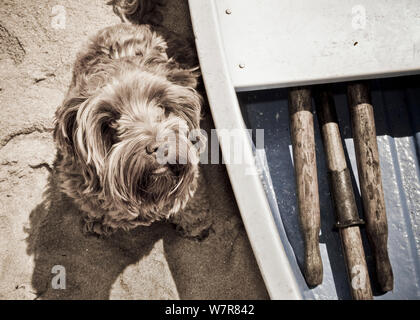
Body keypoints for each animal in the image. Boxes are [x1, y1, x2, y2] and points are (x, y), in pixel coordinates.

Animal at [53, 0, 208, 235]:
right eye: (111, 122)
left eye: (161, 108)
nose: (159, 148)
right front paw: (98, 221)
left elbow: (191, 199)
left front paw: (194, 222)